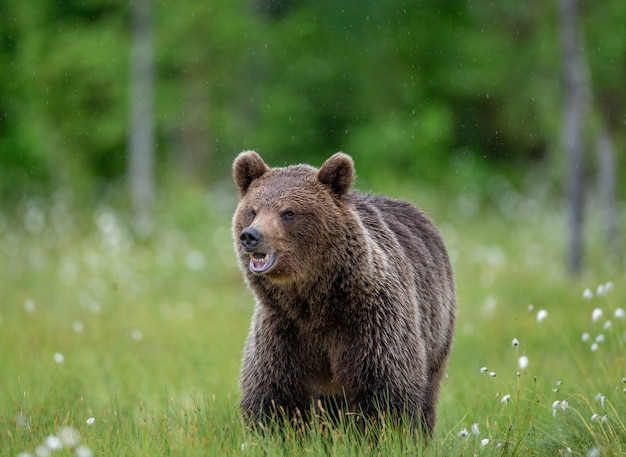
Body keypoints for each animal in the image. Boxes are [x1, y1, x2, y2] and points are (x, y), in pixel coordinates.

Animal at [229, 151, 454, 434]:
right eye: (253, 211)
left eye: (288, 212)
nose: (251, 235)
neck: (314, 302)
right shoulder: (282, 330)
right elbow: (272, 393)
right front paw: (273, 431)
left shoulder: (371, 322)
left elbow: (385, 389)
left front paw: (383, 433)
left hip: (437, 327)